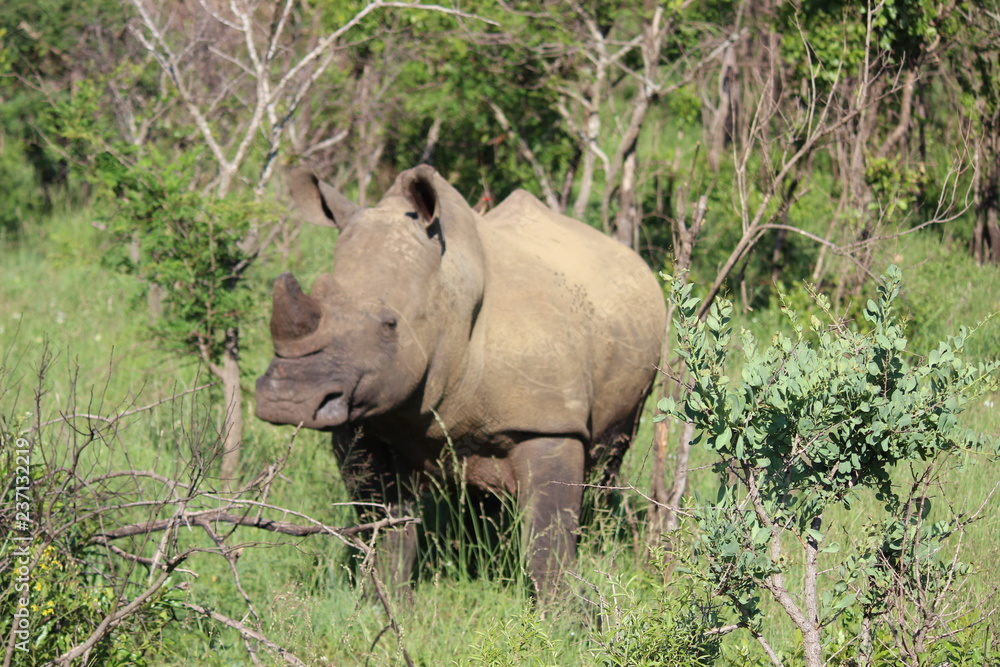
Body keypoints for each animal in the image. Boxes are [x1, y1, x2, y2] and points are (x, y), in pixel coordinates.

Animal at [255, 165, 666, 595]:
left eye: (390, 325)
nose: (287, 399)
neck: (449, 295)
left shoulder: (550, 422)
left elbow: (548, 542)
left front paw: (564, 611)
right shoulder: (360, 420)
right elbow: (383, 528)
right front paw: (385, 601)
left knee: (611, 454)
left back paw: (598, 536)